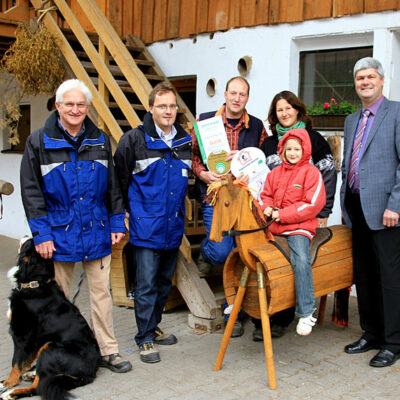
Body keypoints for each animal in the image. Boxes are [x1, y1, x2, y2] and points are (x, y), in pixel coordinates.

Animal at [0, 239, 100, 398]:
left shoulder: (22, 334)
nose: (28, 234)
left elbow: (16, 361)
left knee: (38, 387)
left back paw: (11, 394)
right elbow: (24, 361)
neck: (35, 283)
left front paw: (9, 382)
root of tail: (91, 371)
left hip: (50, 347)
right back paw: (31, 374)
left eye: (28, 242)